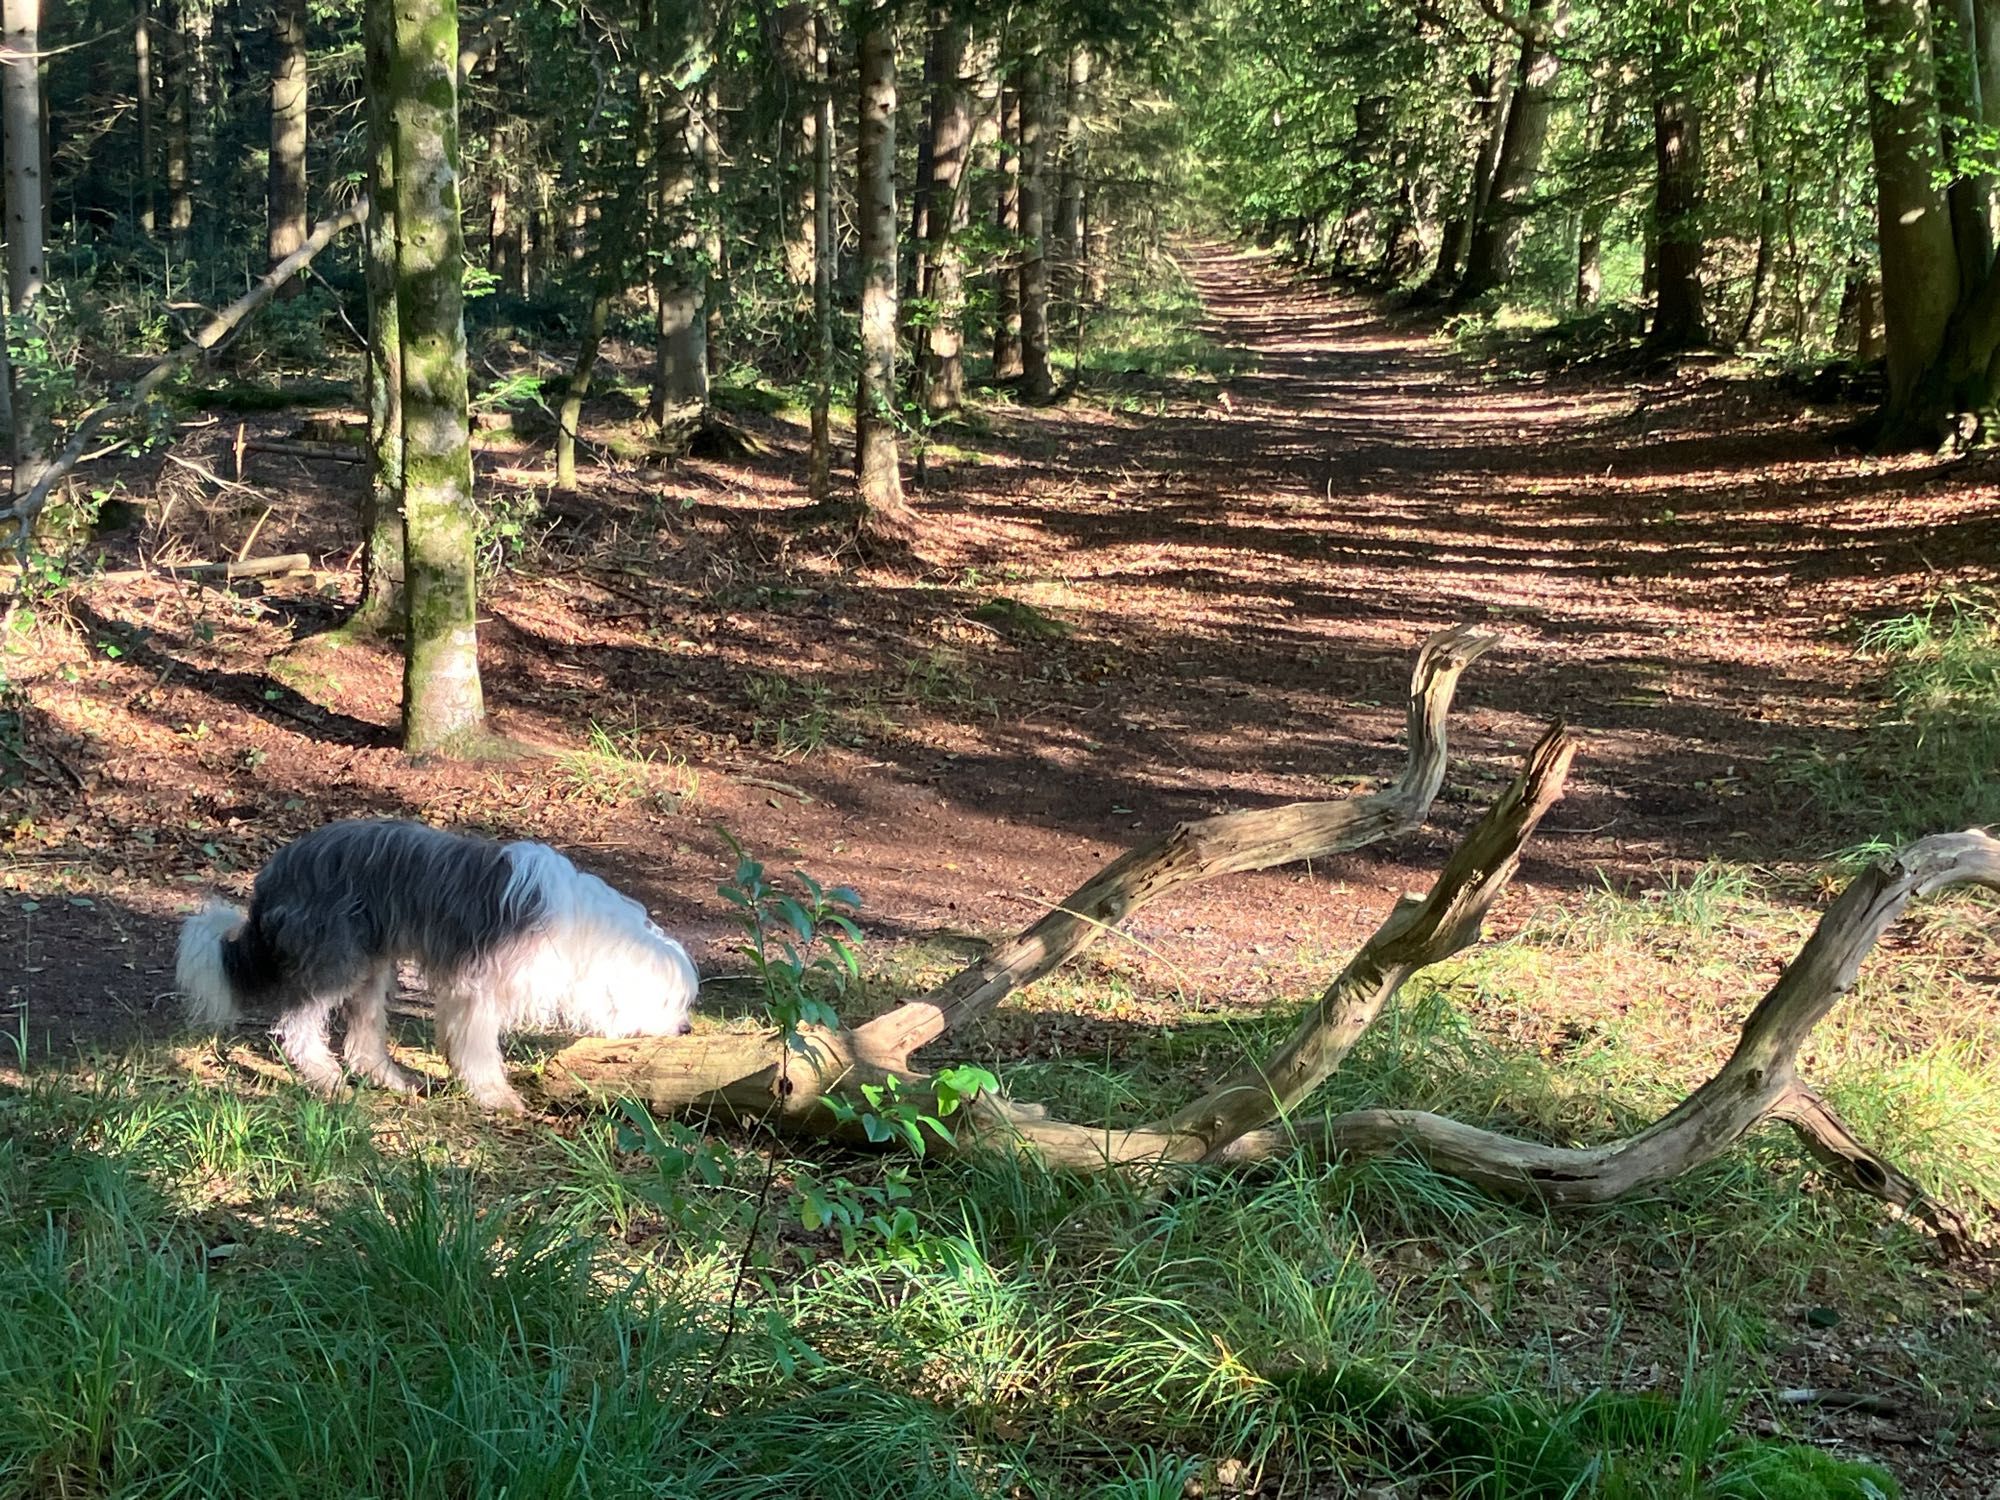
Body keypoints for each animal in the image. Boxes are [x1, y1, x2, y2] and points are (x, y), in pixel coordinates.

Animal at [174, 816, 704, 1112]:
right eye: (669, 1002)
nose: (687, 1030)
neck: (583, 936)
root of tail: (274, 873)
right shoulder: (478, 988)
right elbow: (478, 1049)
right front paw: (495, 1096)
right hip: (337, 958)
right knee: (299, 1027)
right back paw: (327, 1082)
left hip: (371, 965)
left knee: (363, 1041)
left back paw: (389, 1079)